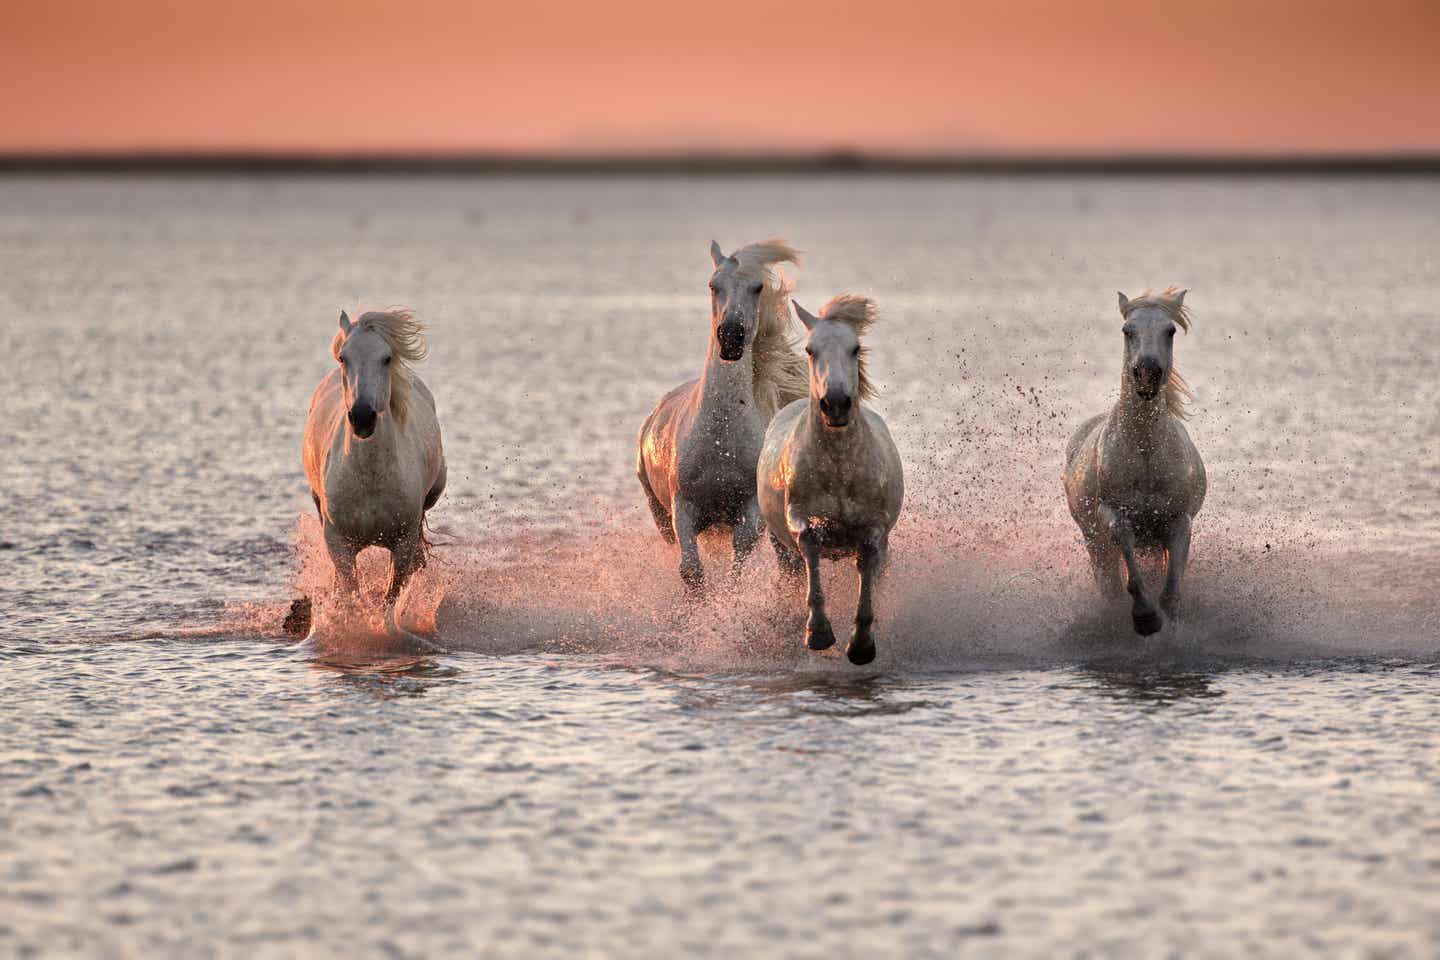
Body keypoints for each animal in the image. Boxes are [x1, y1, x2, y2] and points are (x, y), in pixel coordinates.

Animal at [298, 308, 443, 653]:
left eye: (386, 358)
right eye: (344, 357)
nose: (363, 418)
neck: (370, 480)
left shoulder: (403, 542)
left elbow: (390, 598)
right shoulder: (338, 542)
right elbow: (354, 592)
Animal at [639, 236, 812, 592]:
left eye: (758, 287)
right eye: (712, 285)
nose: (731, 336)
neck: (721, 436)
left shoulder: (750, 509)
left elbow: (739, 558)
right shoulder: (683, 507)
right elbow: (691, 570)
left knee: (787, 562)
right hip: (658, 511)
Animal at [754, 296, 898, 664]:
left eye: (855, 347)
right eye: (810, 349)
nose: (835, 404)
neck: (839, 467)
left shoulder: (875, 528)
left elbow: (867, 567)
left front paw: (861, 645)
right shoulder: (799, 516)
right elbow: (810, 544)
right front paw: (818, 633)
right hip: (780, 547)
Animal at [1065, 293, 1209, 639]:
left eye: (1170, 330)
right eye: (1127, 330)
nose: (1146, 373)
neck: (1144, 454)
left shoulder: (1177, 521)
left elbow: (1171, 589)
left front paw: (1169, 625)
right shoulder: (1114, 517)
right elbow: (1129, 572)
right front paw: (1145, 619)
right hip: (1094, 542)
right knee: (1110, 586)